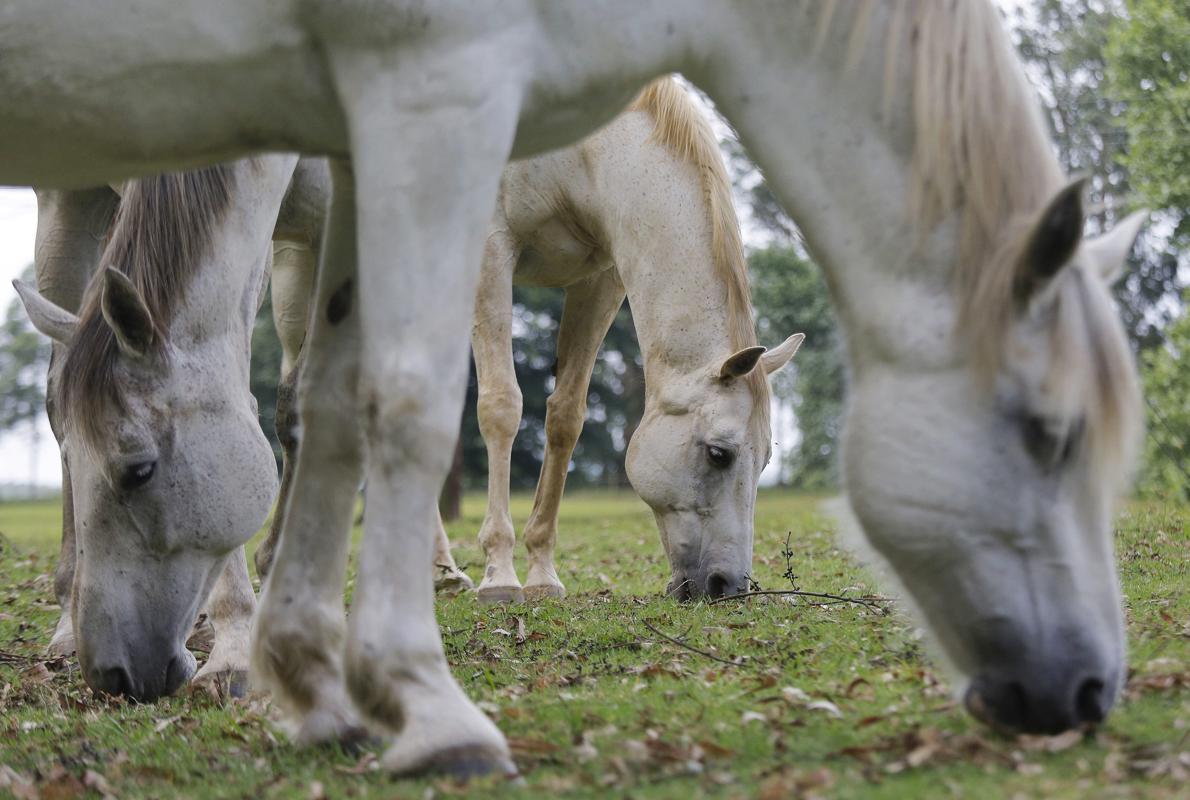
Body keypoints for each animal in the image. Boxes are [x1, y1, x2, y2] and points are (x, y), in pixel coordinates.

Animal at [4, 0, 1147, 776]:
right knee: (116, 379)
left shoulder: (597, 275)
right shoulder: (485, 249)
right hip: (126, 199)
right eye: (721, 454)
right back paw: (104, 621)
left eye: (763, 460)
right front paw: (500, 574)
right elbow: (491, 408)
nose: (726, 588)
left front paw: (537, 570)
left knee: (284, 400)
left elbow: (557, 417)